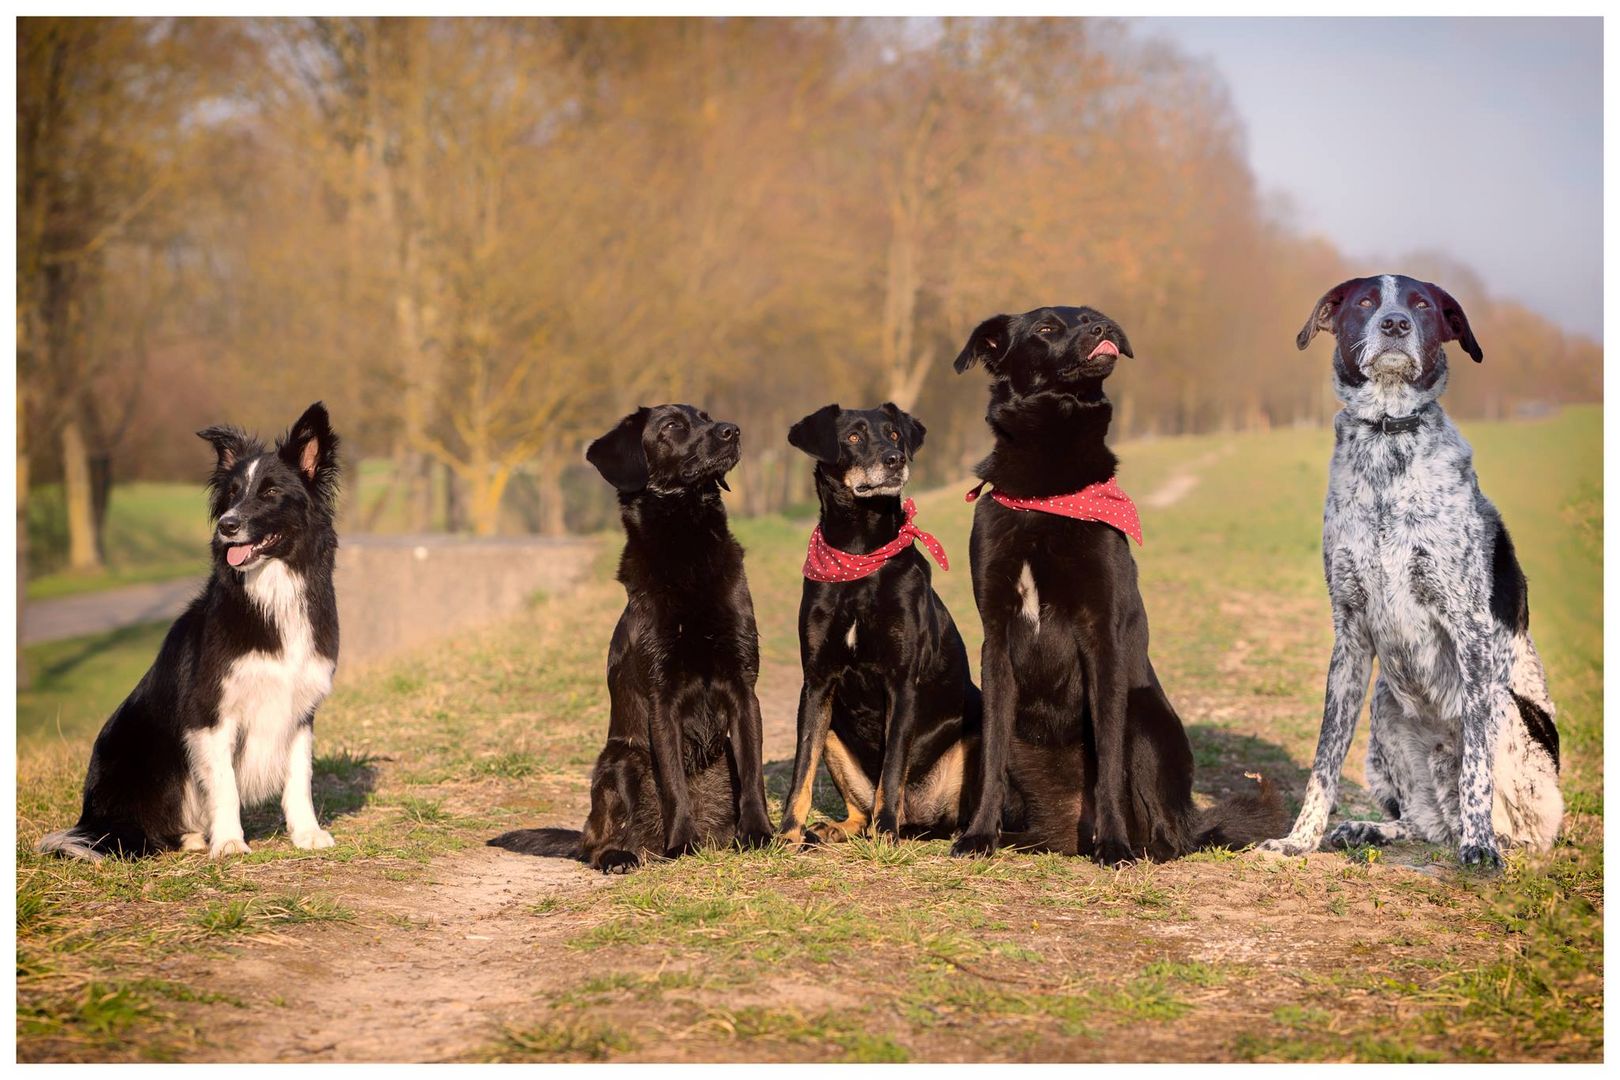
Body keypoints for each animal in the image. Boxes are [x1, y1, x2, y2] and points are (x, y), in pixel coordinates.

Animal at [486, 403, 771, 867]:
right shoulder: (662, 697)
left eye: (707, 416)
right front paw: (682, 843)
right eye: (672, 426)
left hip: (715, 752)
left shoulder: (744, 688)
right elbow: (673, 782)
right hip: (621, 759)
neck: (686, 546)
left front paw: (761, 834)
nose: (733, 430)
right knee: (597, 842)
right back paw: (622, 856)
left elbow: (754, 774)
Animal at [774, 401, 984, 848]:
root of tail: (920, 818)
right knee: (860, 810)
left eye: (894, 435)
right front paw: (786, 834)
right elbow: (802, 767)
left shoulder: (901, 682)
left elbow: (892, 767)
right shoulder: (817, 682)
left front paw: (886, 833)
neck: (859, 557)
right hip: (835, 734)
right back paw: (835, 828)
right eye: (853, 437)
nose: (895, 460)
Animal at [946, 307, 1276, 867]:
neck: (1046, 491)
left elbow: (1108, 760)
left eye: (1089, 318)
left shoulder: (1101, 632)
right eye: (1047, 328)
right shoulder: (995, 637)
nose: (1101, 332)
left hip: (1144, 717)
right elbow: (989, 759)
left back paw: (1133, 846)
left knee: (1167, 835)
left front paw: (1114, 844)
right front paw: (977, 835)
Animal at [1257, 276, 1561, 867]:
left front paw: (1480, 849)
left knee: (1510, 823)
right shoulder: (1349, 634)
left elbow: (1477, 769)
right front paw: (1299, 839)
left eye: (1421, 304)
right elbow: (1324, 757)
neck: (1386, 434)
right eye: (1364, 302)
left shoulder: (1470, 629)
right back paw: (1371, 829)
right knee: (1423, 823)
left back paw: (1486, 839)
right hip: (1385, 710)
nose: (1395, 324)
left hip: (1505, 713)